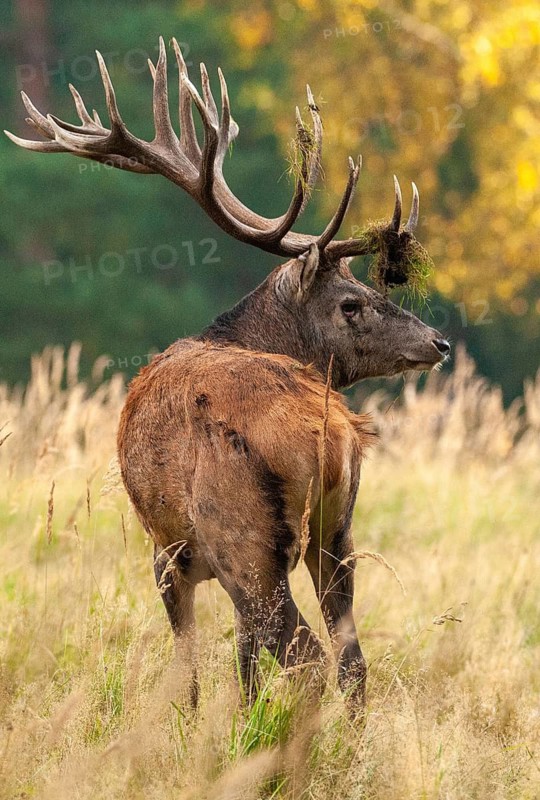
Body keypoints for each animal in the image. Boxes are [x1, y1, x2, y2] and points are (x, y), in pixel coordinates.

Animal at [7, 37, 450, 711]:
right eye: (352, 301)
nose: (439, 342)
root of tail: (333, 437)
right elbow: (242, 665)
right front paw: (240, 719)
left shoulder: (168, 550)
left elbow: (189, 663)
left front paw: (190, 729)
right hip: (336, 532)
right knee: (350, 660)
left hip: (242, 540)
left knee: (307, 658)